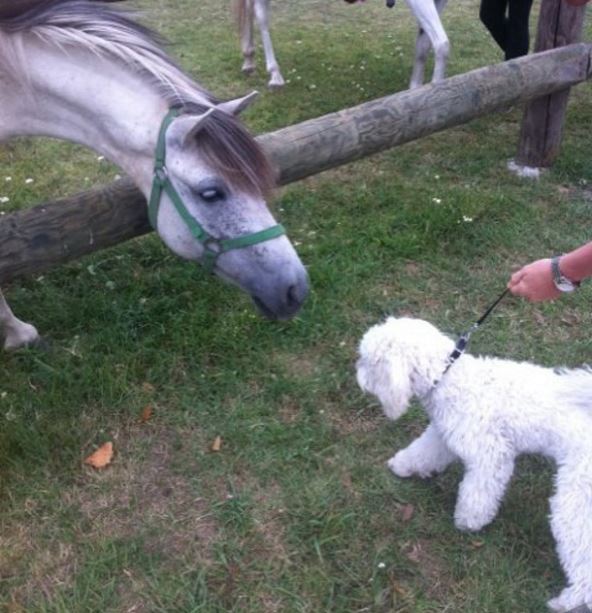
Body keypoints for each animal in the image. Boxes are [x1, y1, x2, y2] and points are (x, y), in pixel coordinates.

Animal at [235, 0, 448, 89]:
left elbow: (424, 45)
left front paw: (415, 91)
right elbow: (442, 44)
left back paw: (249, 60)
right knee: (262, 17)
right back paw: (275, 75)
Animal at [356, 318, 592, 608]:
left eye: (370, 361)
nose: (357, 374)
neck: (449, 378)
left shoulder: (490, 453)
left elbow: (478, 493)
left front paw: (469, 521)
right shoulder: (443, 435)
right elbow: (423, 452)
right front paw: (403, 466)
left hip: (575, 502)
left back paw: (566, 602)